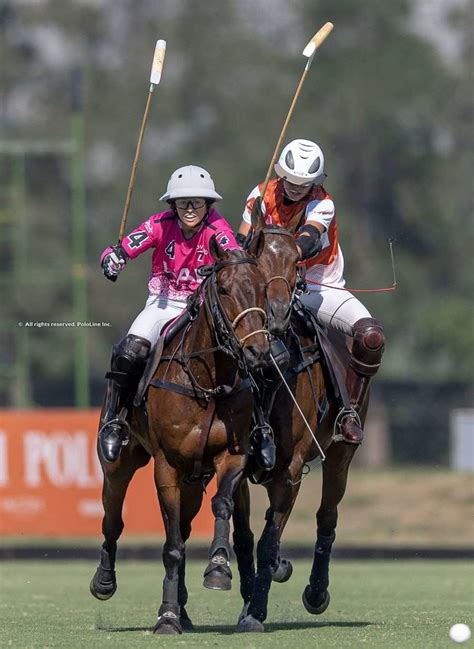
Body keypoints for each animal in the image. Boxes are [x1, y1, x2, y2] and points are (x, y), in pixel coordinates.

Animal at [90, 234, 274, 632]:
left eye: (265, 288)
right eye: (224, 288)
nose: (258, 352)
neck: (208, 380)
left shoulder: (231, 456)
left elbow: (219, 506)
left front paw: (218, 569)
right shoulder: (167, 466)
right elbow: (171, 546)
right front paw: (167, 617)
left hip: (194, 478)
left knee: (186, 529)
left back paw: (184, 607)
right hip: (119, 466)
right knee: (113, 520)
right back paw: (104, 581)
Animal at [233, 209, 362, 632]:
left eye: (295, 263)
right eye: (255, 262)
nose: (275, 314)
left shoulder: (290, 466)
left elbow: (267, 539)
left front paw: (255, 612)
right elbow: (245, 536)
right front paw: (249, 600)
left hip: (339, 453)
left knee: (326, 516)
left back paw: (315, 592)